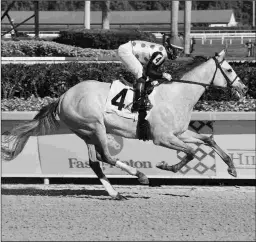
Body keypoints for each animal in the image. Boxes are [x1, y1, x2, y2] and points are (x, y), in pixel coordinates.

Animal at [1, 48, 247, 199]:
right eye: (229, 69)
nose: (243, 88)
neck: (178, 94)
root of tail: (62, 97)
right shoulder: (162, 138)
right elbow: (191, 153)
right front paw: (167, 167)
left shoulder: (179, 132)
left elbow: (207, 139)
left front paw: (232, 167)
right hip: (95, 127)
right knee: (107, 157)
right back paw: (140, 176)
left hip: (86, 132)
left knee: (95, 162)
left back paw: (115, 193)